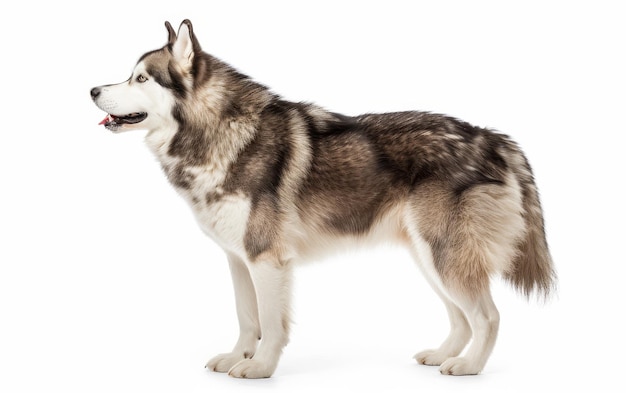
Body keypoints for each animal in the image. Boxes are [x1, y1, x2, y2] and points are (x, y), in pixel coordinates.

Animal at [90, 20, 552, 376]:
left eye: (141, 78)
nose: (92, 90)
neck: (219, 133)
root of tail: (491, 136)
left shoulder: (267, 259)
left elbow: (271, 324)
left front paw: (260, 368)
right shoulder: (239, 259)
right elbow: (246, 318)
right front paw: (238, 357)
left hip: (444, 255)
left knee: (488, 317)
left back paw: (468, 367)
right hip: (430, 258)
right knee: (461, 319)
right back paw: (442, 356)